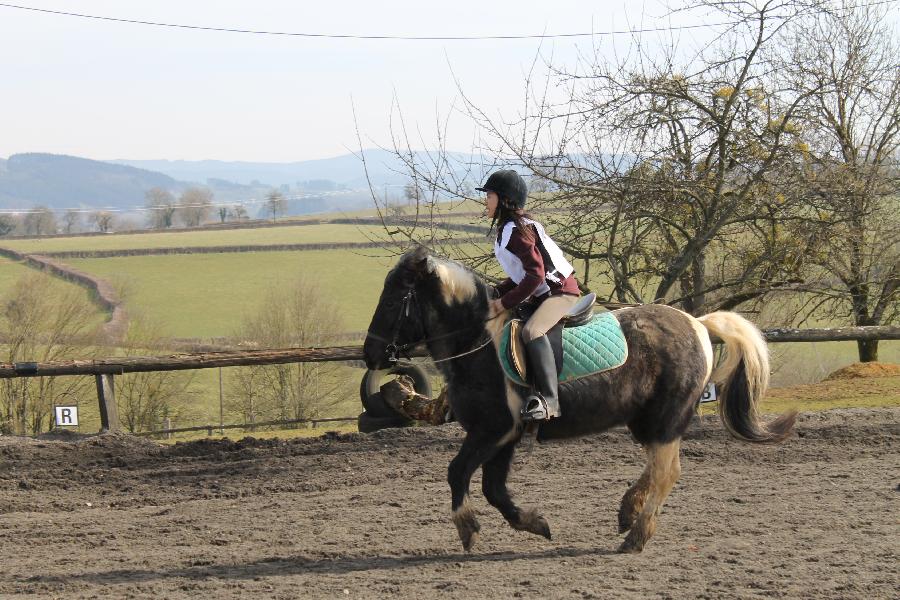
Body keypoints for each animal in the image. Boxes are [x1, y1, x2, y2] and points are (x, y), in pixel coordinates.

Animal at [362, 247, 800, 552]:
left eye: (392, 301)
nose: (371, 355)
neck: (477, 341)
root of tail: (696, 323)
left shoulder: (491, 430)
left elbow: (458, 474)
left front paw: (468, 529)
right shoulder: (505, 435)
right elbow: (494, 489)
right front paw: (535, 523)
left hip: (665, 417)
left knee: (666, 471)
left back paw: (635, 537)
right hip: (646, 420)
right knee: (657, 466)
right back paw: (627, 511)